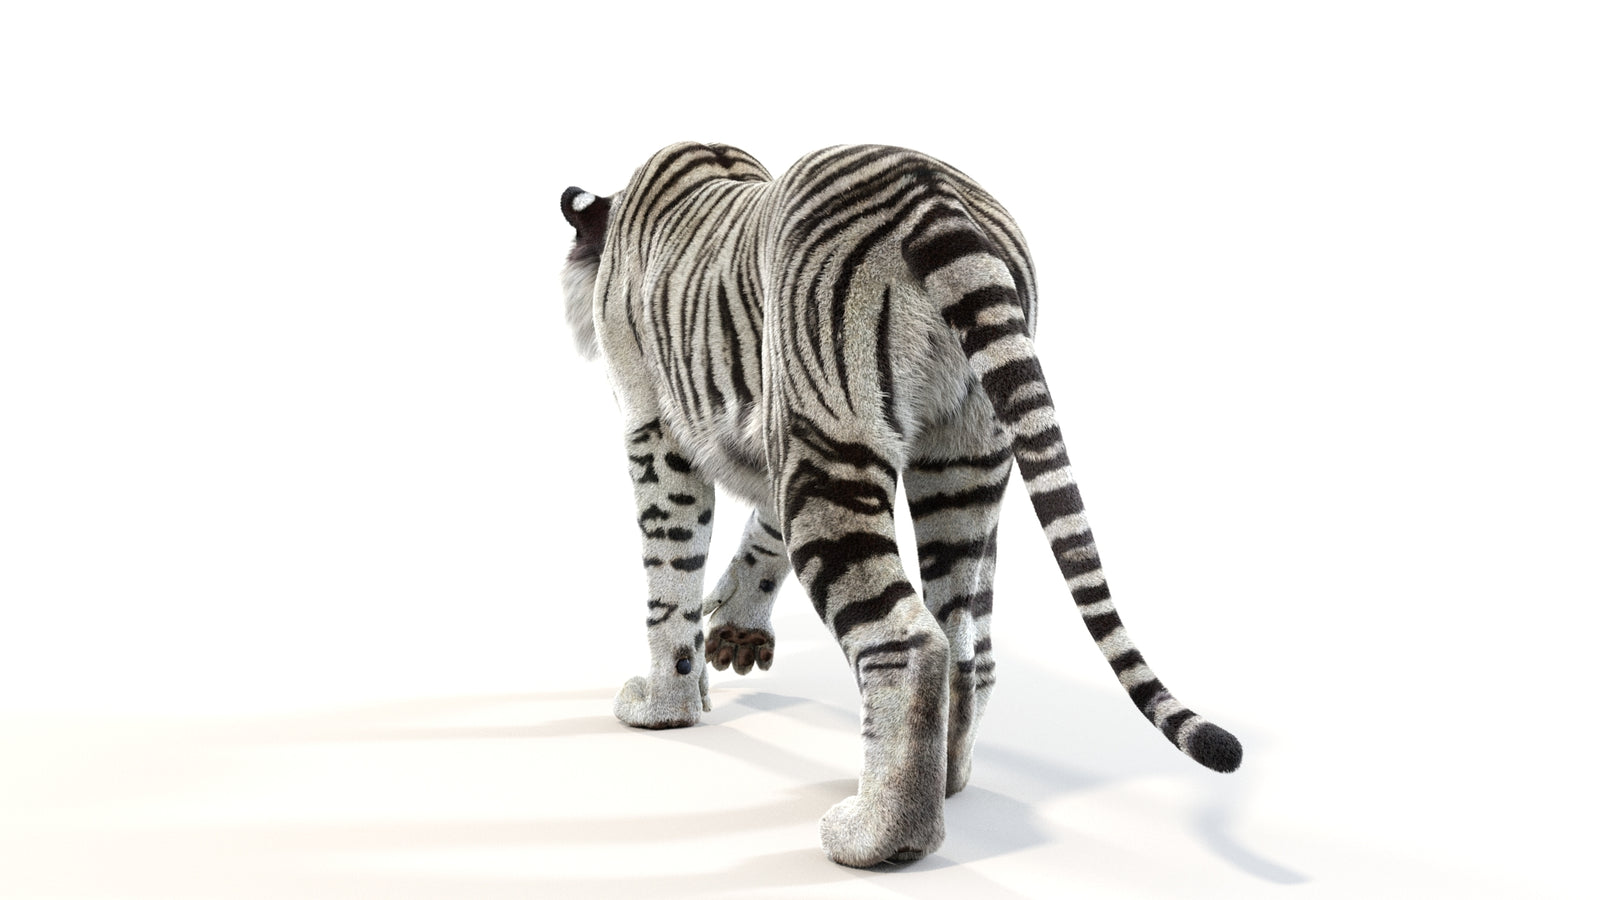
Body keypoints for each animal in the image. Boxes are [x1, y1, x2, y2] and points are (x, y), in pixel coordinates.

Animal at [558, 142, 1241, 868]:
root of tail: (932, 196)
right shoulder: (775, 432)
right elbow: (758, 537)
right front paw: (736, 635)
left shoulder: (661, 430)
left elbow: (669, 577)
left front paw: (665, 705)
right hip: (961, 464)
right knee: (968, 645)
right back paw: (947, 782)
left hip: (830, 443)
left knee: (909, 639)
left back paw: (877, 835)